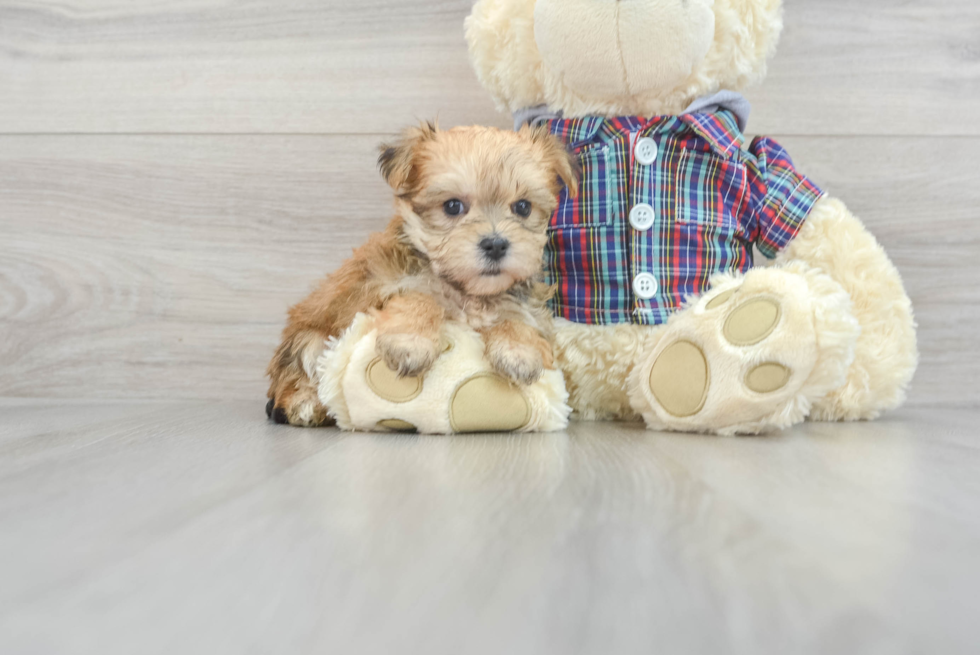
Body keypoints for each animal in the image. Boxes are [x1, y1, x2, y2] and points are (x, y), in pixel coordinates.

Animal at [264, 123, 580, 428]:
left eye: (523, 207)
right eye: (452, 206)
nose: (496, 244)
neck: (466, 290)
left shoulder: (525, 304)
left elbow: (518, 317)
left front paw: (518, 352)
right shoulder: (376, 291)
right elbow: (419, 296)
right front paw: (410, 345)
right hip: (309, 340)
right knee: (299, 375)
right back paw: (305, 405)